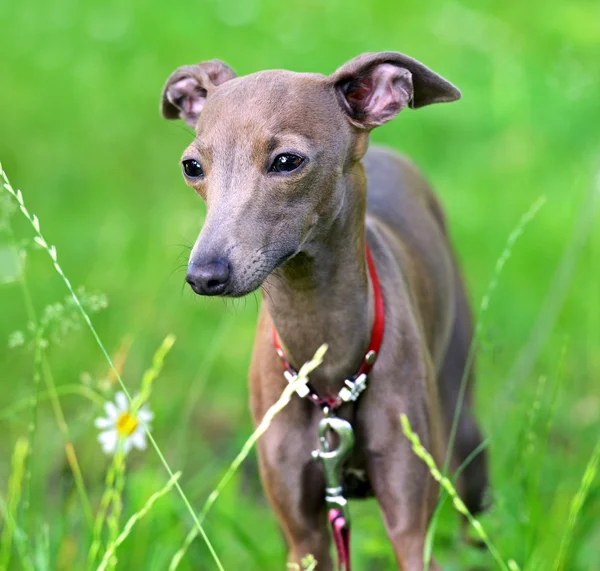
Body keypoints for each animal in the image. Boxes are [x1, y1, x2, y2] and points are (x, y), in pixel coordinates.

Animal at [159, 51, 488, 568]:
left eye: (286, 160)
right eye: (192, 166)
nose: (205, 275)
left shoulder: (411, 529)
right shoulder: (303, 535)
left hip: (463, 424)